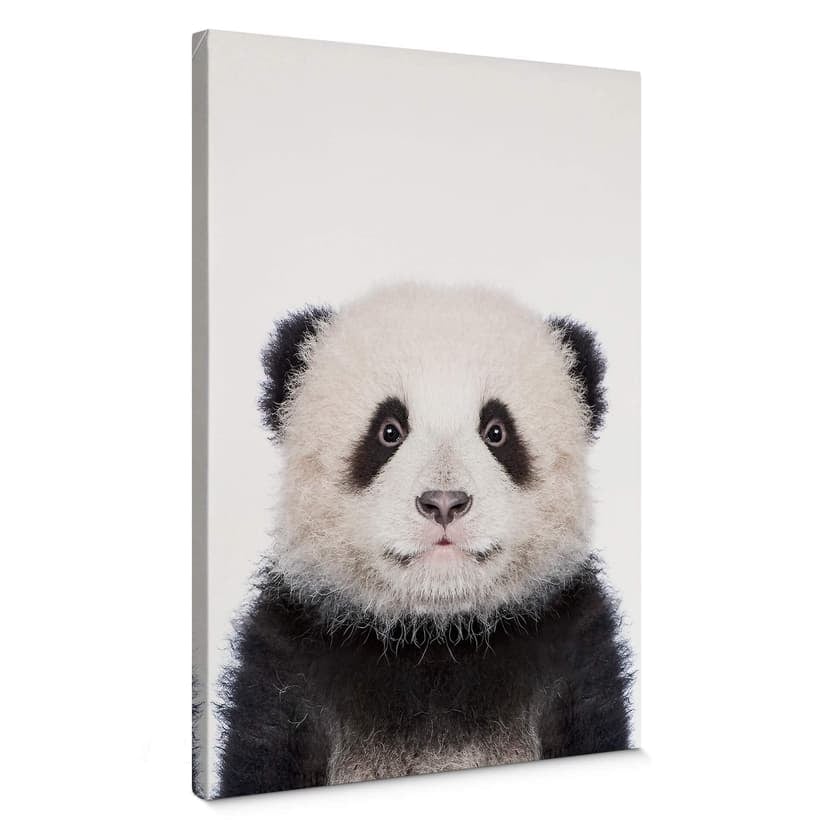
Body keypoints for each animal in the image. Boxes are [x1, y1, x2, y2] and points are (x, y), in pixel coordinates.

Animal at [217, 283, 632, 797]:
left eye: (497, 432)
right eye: (388, 431)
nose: (444, 503)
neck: (436, 637)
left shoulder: (574, 656)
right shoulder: (288, 664)